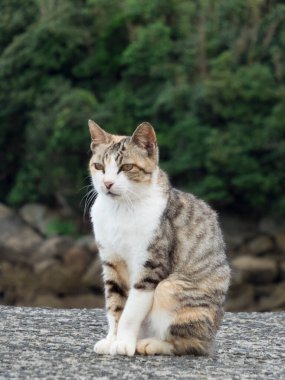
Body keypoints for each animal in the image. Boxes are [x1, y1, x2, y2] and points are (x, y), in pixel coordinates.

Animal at [87, 119, 230, 356]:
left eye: (127, 167)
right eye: (99, 167)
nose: (107, 183)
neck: (121, 210)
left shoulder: (151, 265)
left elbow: (131, 312)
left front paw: (123, 343)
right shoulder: (111, 262)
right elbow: (115, 305)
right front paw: (112, 340)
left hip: (171, 288)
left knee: (193, 343)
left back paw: (152, 344)